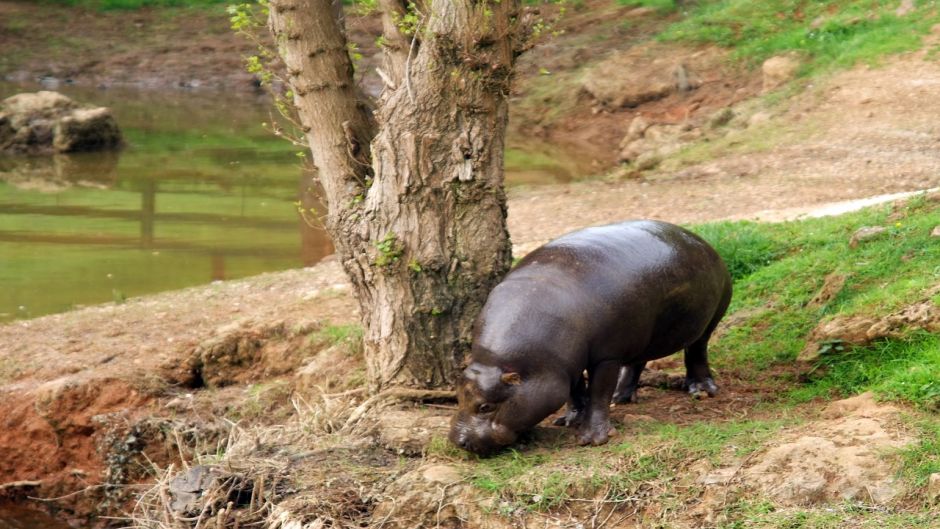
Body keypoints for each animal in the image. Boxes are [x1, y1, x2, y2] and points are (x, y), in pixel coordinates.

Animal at [450, 219, 736, 454]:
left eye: (485, 406)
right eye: (458, 396)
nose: (458, 441)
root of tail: (703, 242)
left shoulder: (606, 356)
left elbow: (599, 392)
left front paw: (591, 438)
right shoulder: (565, 364)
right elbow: (574, 391)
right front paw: (569, 420)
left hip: (709, 320)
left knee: (697, 351)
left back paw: (700, 390)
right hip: (642, 335)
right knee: (637, 362)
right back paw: (622, 398)